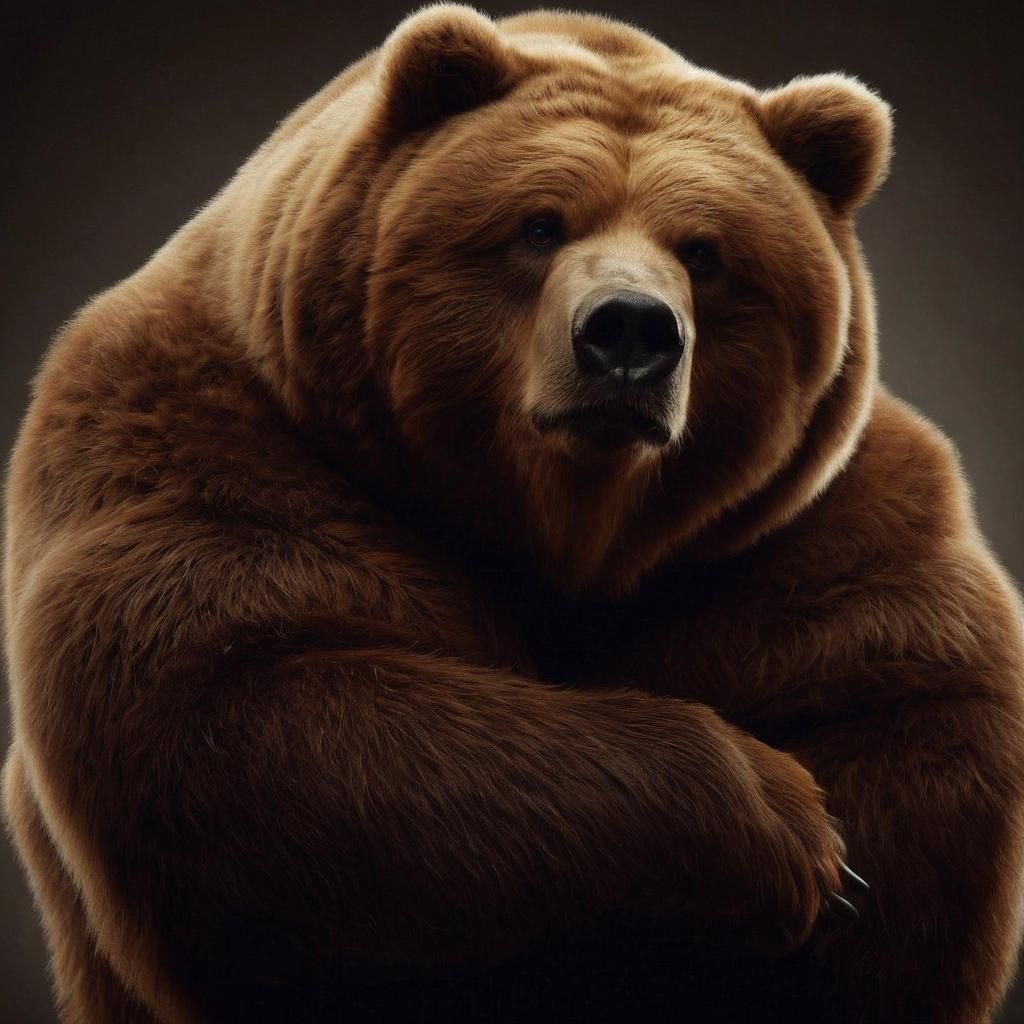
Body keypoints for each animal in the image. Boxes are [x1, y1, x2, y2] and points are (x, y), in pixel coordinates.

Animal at [4, 4, 1024, 1021]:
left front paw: (831, 865)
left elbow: (912, 717)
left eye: (706, 252)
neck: (565, 528)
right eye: (539, 224)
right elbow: (246, 705)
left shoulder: (801, 532)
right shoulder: (211, 445)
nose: (629, 331)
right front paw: (787, 828)